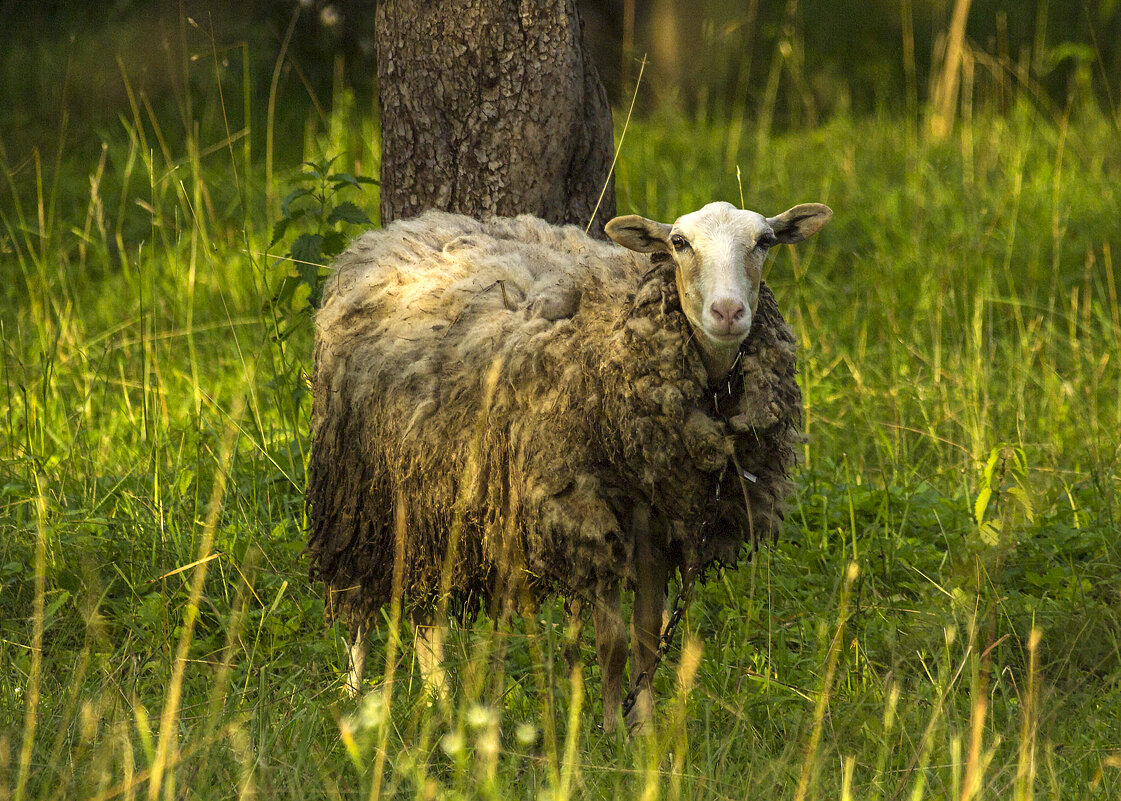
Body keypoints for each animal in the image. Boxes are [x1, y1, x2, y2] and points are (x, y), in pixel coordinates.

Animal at [307, 199, 834, 734]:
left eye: (765, 241)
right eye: (679, 243)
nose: (728, 313)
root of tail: (397, 231)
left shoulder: (659, 521)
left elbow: (647, 636)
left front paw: (643, 729)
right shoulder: (590, 516)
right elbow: (613, 643)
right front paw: (611, 731)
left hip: (433, 495)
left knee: (425, 610)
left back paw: (441, 704)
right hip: (360, 487)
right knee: (359, 599)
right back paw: (355, 695)